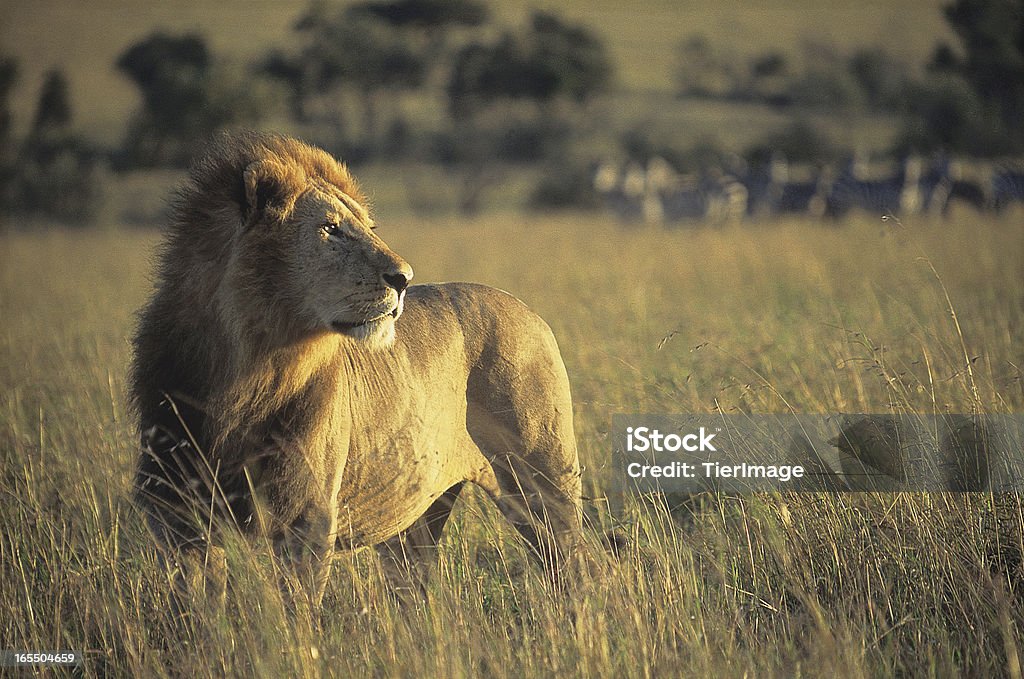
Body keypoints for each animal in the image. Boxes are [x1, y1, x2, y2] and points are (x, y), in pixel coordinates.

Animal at [130, 133, 585, 610]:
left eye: (369, 227)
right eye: (331, 229)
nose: (404, 278)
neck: (247, 371)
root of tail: (531, 313)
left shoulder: (306, 519)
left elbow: (297, 613)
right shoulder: (176, 518)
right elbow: (197, 611)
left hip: (543, 483)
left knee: (576, 570)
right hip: (413, 518)